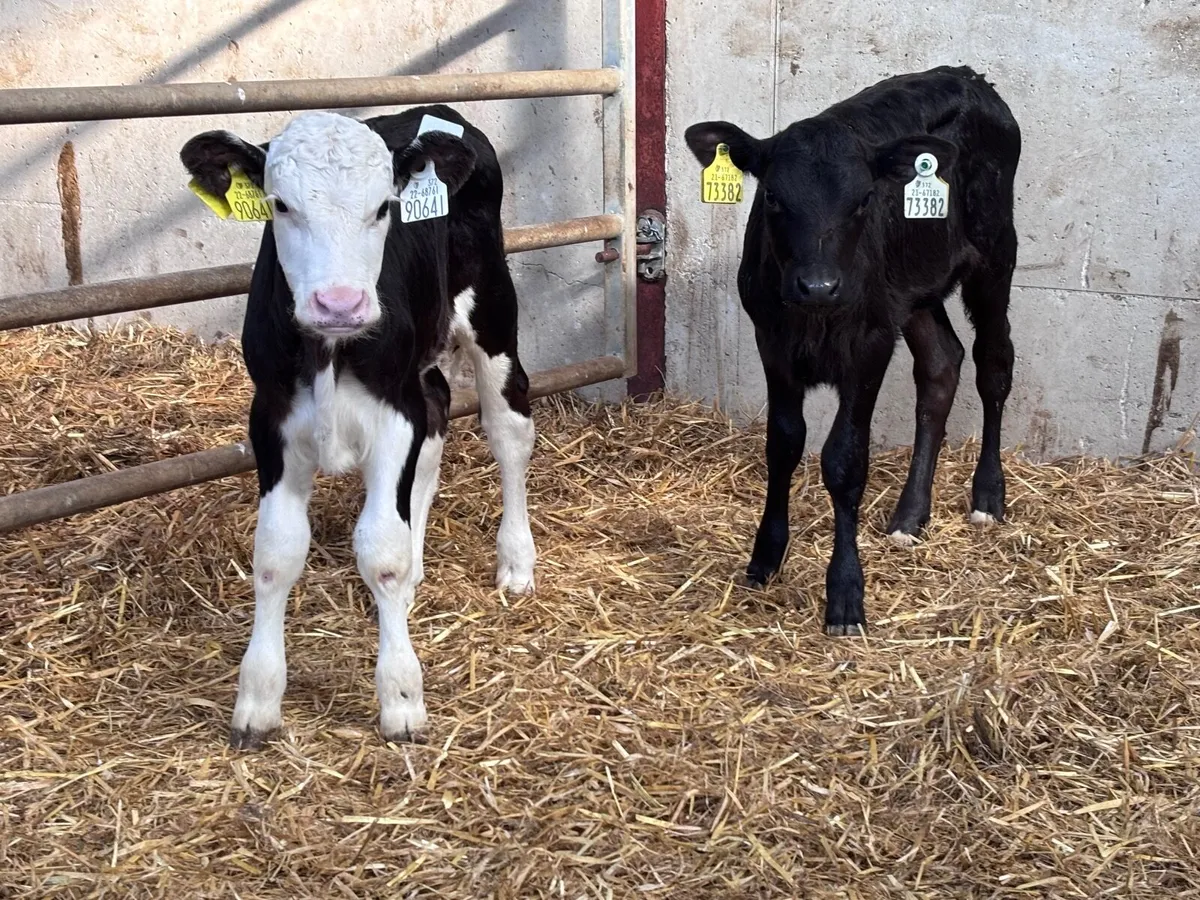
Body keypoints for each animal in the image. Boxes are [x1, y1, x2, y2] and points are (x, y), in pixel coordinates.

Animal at [180, 105, 537, 748]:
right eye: (280, 205)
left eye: (383, 208)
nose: (339, 303)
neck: (330, 351)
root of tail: (439, 115)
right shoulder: (271, 419)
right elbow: (275, 553)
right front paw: (258, 699)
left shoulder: (392, 413)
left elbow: (381, 550)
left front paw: (401, 698)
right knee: (437, 410)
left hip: (492, 308)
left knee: (508, 429)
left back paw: (517, 562)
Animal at [684, 66, 1021, 635]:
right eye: (772, 197)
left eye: (863, 199)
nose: (818, 285)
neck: (814, 317)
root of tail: (967, 75)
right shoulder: (771, 341)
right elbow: (783, 443)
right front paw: (766, 557)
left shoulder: (870, 346)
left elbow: (844, 460)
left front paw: (845, 593)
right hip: (911, 292)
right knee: (941, 365)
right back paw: (910, 515)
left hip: (995, 254)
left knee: (993, 365)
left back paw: (987, 495)